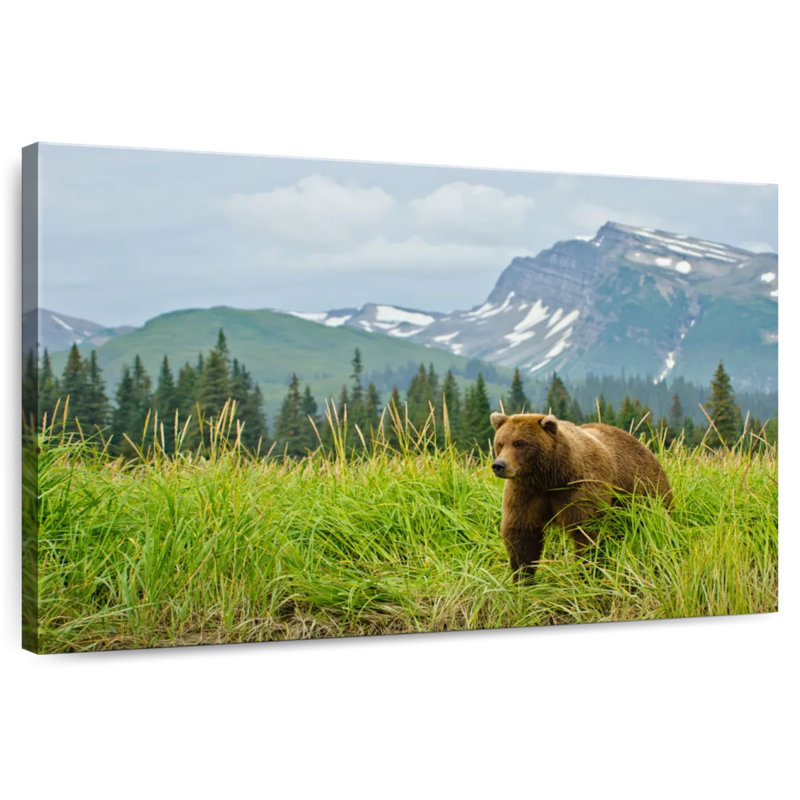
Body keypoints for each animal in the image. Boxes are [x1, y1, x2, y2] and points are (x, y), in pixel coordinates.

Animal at [490, 412, 672, 582]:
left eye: (520, 443)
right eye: (500, 443)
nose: (499, 465)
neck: (550, 478)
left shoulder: (581, 488)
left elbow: (588, 531)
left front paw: (586, 572)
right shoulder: (525, 493)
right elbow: (522, 534)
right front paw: (523, 579)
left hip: (643, 491)